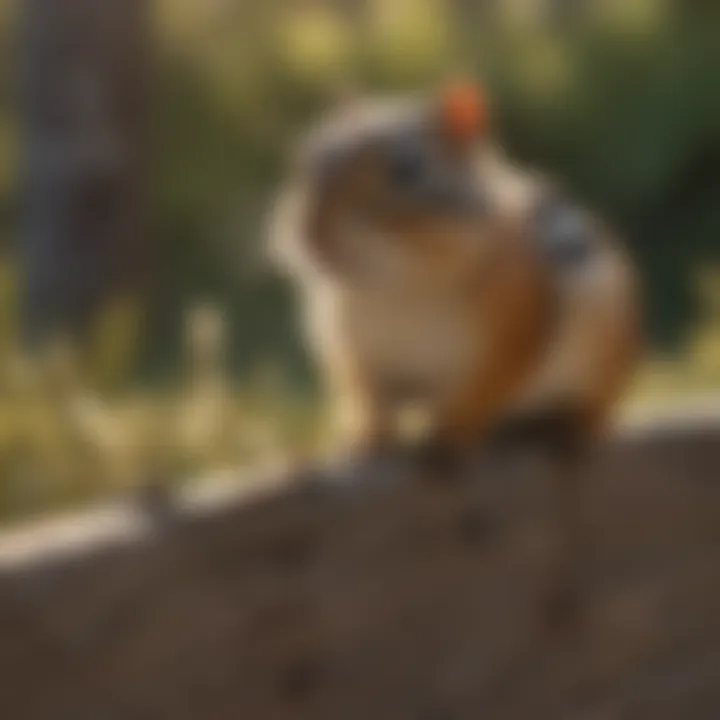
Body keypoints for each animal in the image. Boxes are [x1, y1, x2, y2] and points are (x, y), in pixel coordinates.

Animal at [269, 81, 641, 463]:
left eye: (407, 169)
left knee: (595, 407)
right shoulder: (353, 349)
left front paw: (450, 432)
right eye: (307, 161)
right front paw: (367, 437)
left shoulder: (514, 331)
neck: (402, 286)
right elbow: (367, 397)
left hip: (605, 359)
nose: (311, 234)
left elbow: (484, 391)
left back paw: (571, 430)